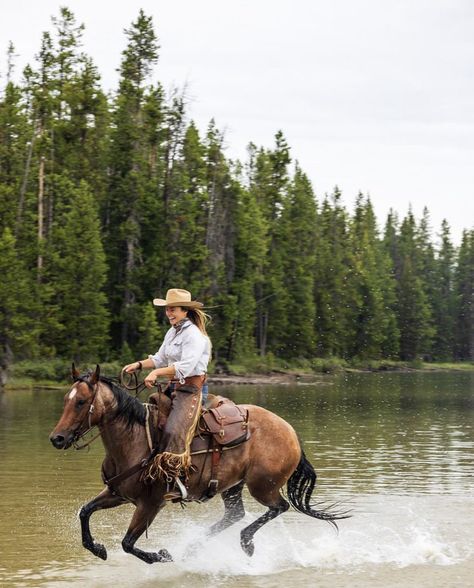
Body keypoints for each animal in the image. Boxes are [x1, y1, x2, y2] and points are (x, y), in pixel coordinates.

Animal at [49, 366, 348, 564]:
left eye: (81, 401)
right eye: (66, 399)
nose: (57, 438)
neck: (134, 440)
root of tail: (291, 432)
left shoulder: (150, 504)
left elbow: (128, 543)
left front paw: (161, 555)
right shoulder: (117, 493)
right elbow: (85, 512)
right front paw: (98, 549)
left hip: (263, 486)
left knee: (278, 507)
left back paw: (246, 544)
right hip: (233, 485)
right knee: (235, 514)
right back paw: (195, 547)